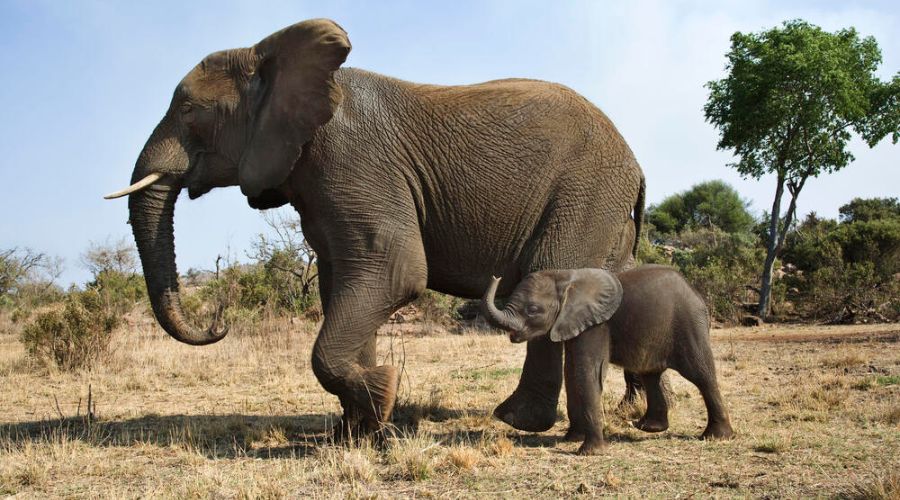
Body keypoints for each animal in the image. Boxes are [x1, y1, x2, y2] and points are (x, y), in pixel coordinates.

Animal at [105, 19, 646, 434]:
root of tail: (635, 165)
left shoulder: (352, 159)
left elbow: (394, 270)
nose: (219, 323)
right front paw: (358, 431)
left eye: (189, 111)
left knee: (548, 273)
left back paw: (518, 422)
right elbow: (344, 283)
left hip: (586, 191)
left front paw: (383, 397)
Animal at [482, 265, 734, 455]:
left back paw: (716, 437)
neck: (565, 278)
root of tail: (695, 292)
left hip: (689, 324)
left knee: (701, 374)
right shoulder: (574, 324)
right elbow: (572, 372)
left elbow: (587, 372)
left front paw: (589, 452)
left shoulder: (596, 326)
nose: (496, 276)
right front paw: (572, 438)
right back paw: (649, 428)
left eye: (533, 310)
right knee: (650, 374)